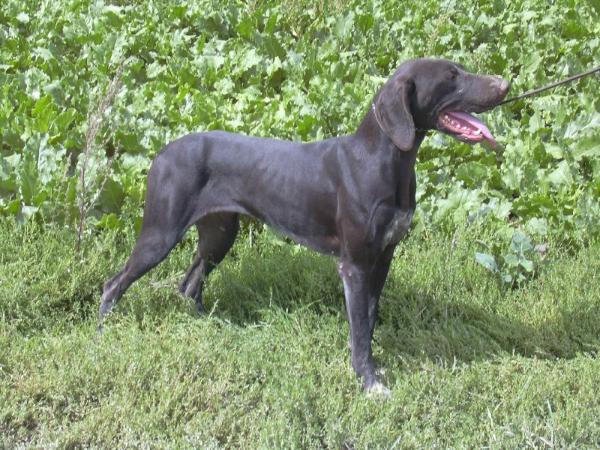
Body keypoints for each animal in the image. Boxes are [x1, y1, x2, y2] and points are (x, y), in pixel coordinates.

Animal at [99, 59, 510, 394]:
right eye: (452, 76)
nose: (505, 84)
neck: (386, 160)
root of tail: (162, 152)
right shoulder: (355, 265)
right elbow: (360, 328)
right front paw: (369, 381)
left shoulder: (382, 258)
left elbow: (368, 320)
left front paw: (370, 368)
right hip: (160, 234)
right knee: (113, 284)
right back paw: (104, 330)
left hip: (219, 233)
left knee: (189, 284)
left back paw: (215, 327)